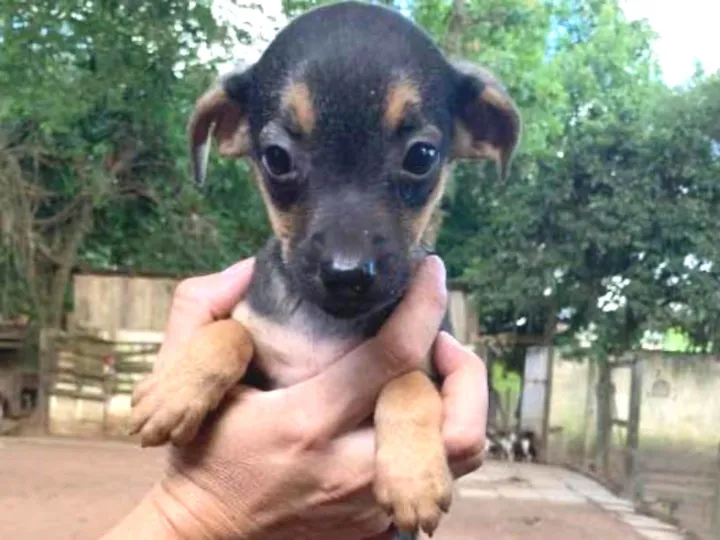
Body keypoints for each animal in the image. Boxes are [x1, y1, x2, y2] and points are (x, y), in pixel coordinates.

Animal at [129, 2, 520, 537]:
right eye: (276, 158)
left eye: (422, 156)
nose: (347, 273)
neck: (324, 326)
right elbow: (231, 331)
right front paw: (173, 390)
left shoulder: (431, 362)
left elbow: (408, 382)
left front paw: (413, 478)